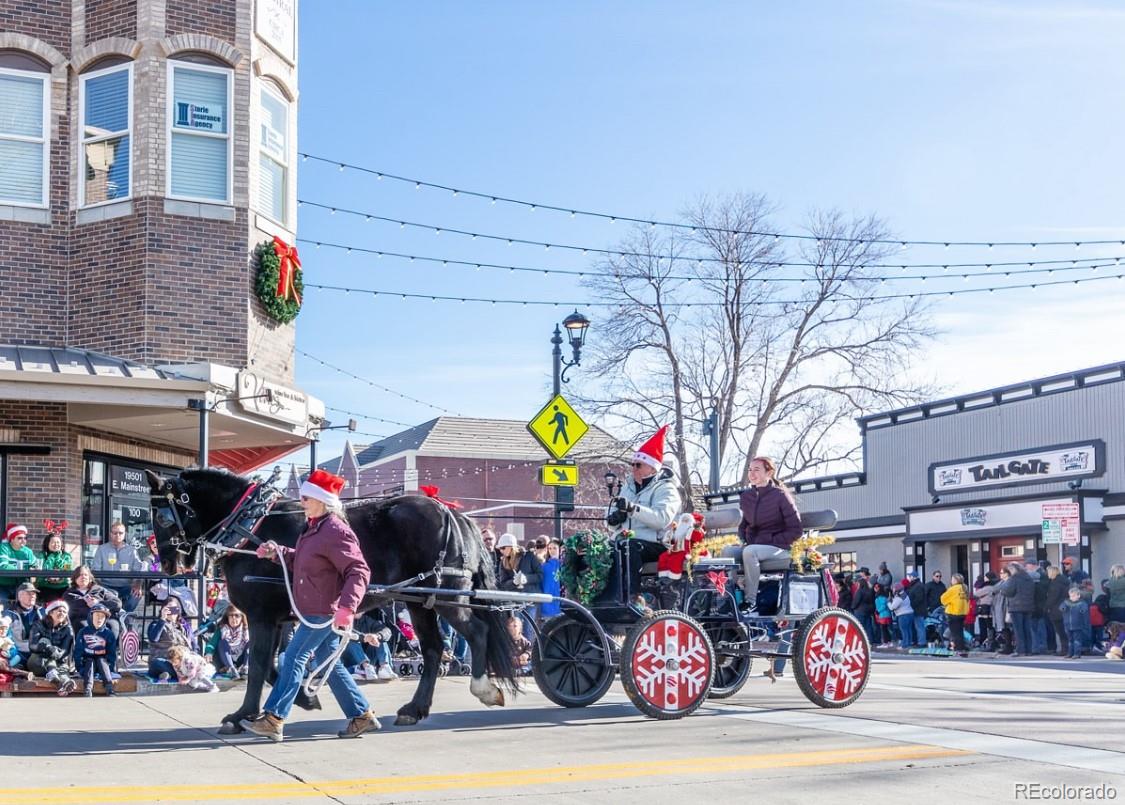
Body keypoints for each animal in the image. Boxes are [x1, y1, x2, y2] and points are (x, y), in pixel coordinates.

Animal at [147, 465, 515, 737]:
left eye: (162, 516)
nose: (168, 563)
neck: (250, 526)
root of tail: (453, 514)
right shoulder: (279, 618)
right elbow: (275, 666)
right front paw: (304, 698)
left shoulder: (262, 615)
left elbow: (260, 665)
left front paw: (241, 716)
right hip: (418, 601)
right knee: (434, 649)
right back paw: (414, 709)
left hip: (445, 596)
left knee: (477, 633)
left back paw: (482, 688)